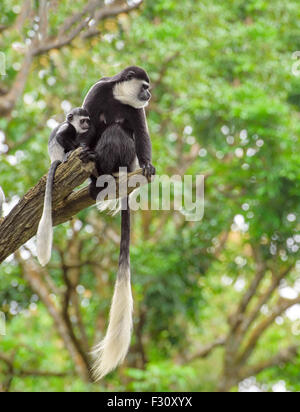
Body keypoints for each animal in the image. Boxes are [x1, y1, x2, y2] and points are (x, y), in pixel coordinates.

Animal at [37, 108, 94, 266]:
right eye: (83, 120)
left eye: (88, 120)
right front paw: (78, 148)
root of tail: (54, 159)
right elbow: (61, 137)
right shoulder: (68, 128)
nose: (87, 125)